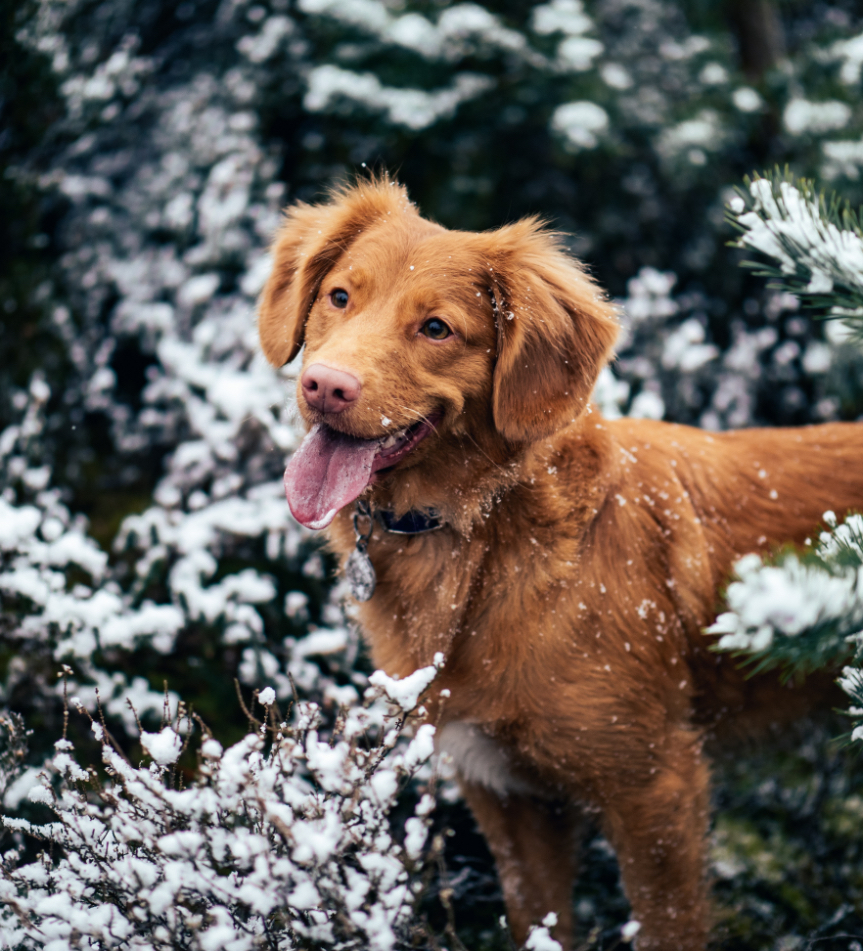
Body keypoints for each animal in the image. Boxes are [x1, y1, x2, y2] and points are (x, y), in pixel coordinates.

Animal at [256, 178, 863, 951]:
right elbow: (538, 921)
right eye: (339, 296)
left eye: (436, 329)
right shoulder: (506, 793)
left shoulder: (656, 784)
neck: (480, 540)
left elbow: (666, 925)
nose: (325, 387)